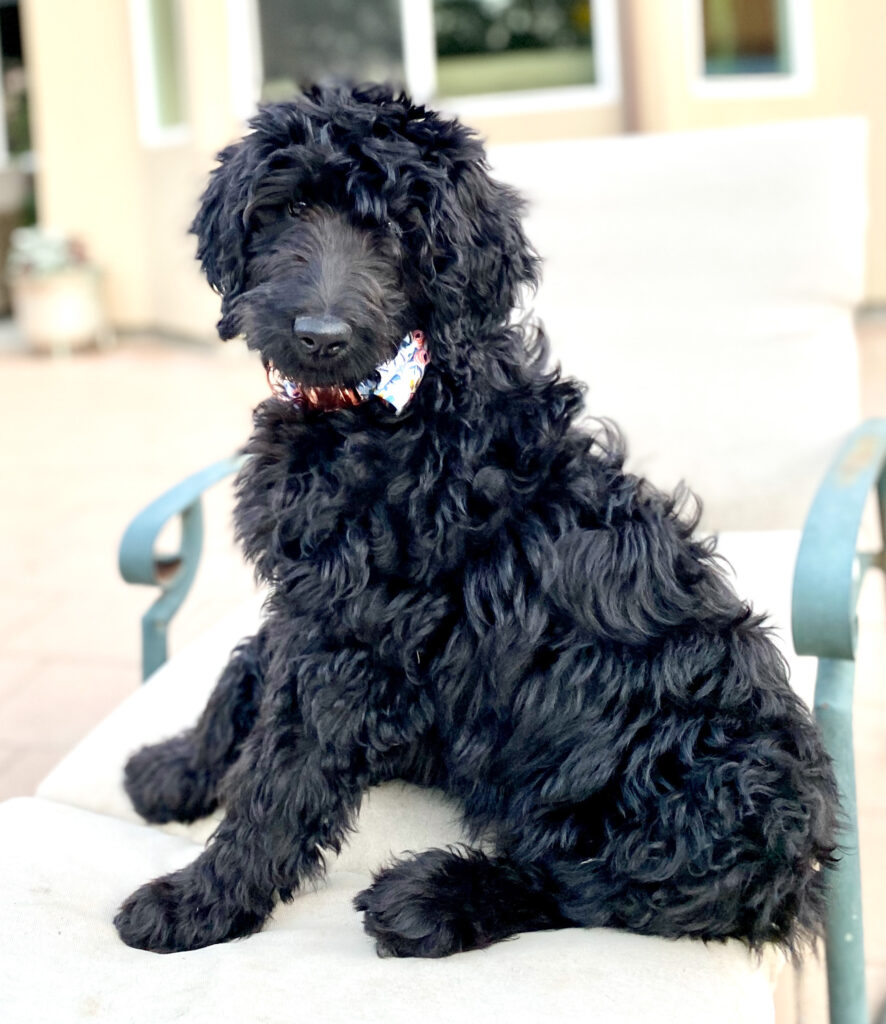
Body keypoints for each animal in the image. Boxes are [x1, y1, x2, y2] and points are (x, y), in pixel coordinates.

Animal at [114, 83, 839, 954]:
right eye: (288, 209)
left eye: (397, 231)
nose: (319, 336)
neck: (384, 406)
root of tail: (796, 869)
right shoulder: (315, 599)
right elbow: (241, 677)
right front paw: (176, 768)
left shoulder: (355, 635)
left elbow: (281, 774)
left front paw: (198, 901)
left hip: (672, 781)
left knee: (592, 886)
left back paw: (431, 899)